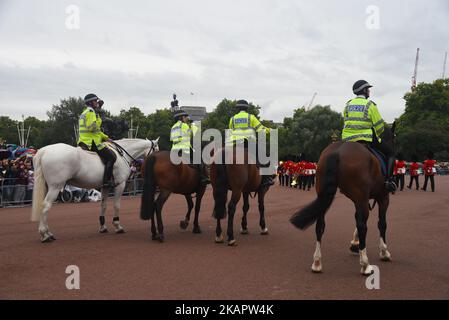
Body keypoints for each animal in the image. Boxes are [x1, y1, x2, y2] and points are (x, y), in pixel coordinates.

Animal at [30, 138, 159, 242]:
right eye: (156, 150)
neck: (122, 155)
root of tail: (43, 151)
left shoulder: (105, 187)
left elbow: (104, 205)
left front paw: (103, 227)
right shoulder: (120, 185)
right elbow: (116, 205)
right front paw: (117, 226)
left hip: (48, 187)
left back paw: (48, 233)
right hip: (55, 187)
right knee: (46, 205)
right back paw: (45, 234)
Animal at [288, 123, 394, 276]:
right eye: (394, 137)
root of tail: (337, 152)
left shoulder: (360, 199)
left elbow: (357, 219)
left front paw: (355, 244)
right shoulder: (382, 197)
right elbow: (382, 223)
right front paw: (384, 252)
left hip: (325, 195)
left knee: (320, 225)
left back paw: (317, 263)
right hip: (362, 197)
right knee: (362, 225)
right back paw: (365, 265)